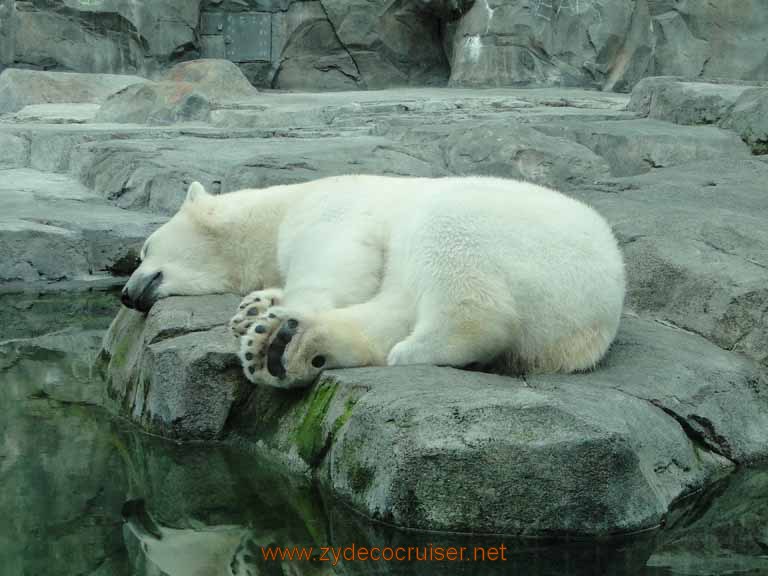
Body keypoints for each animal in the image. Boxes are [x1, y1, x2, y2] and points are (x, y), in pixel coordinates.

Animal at [120, 176, 624, 390]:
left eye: (144, 248)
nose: (126, 294)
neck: (277, 207)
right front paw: (255, 311)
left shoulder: (333, 206)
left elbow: (339, 259)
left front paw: (270, 311)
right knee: (398, 304)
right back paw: (284, 348)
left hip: (520, 241)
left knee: (451, 262)